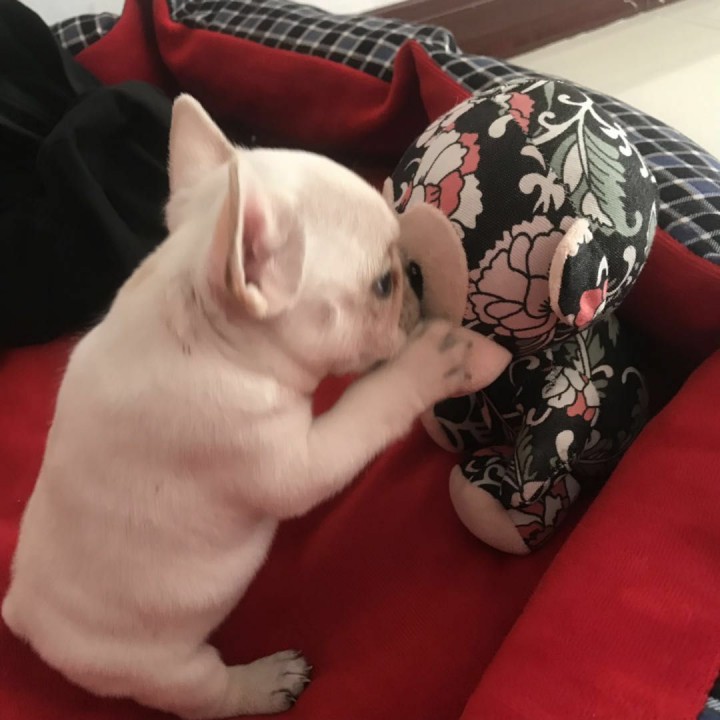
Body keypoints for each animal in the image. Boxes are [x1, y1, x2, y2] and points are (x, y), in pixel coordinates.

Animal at [2, 95, 510, 719]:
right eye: (383, 284)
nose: (417, 276)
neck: (200, 327)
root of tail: (24, 619)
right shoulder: (286, 460)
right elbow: (373, 403)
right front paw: (438, 359)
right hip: (159, 669)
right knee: (208, 695)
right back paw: (266, 681)